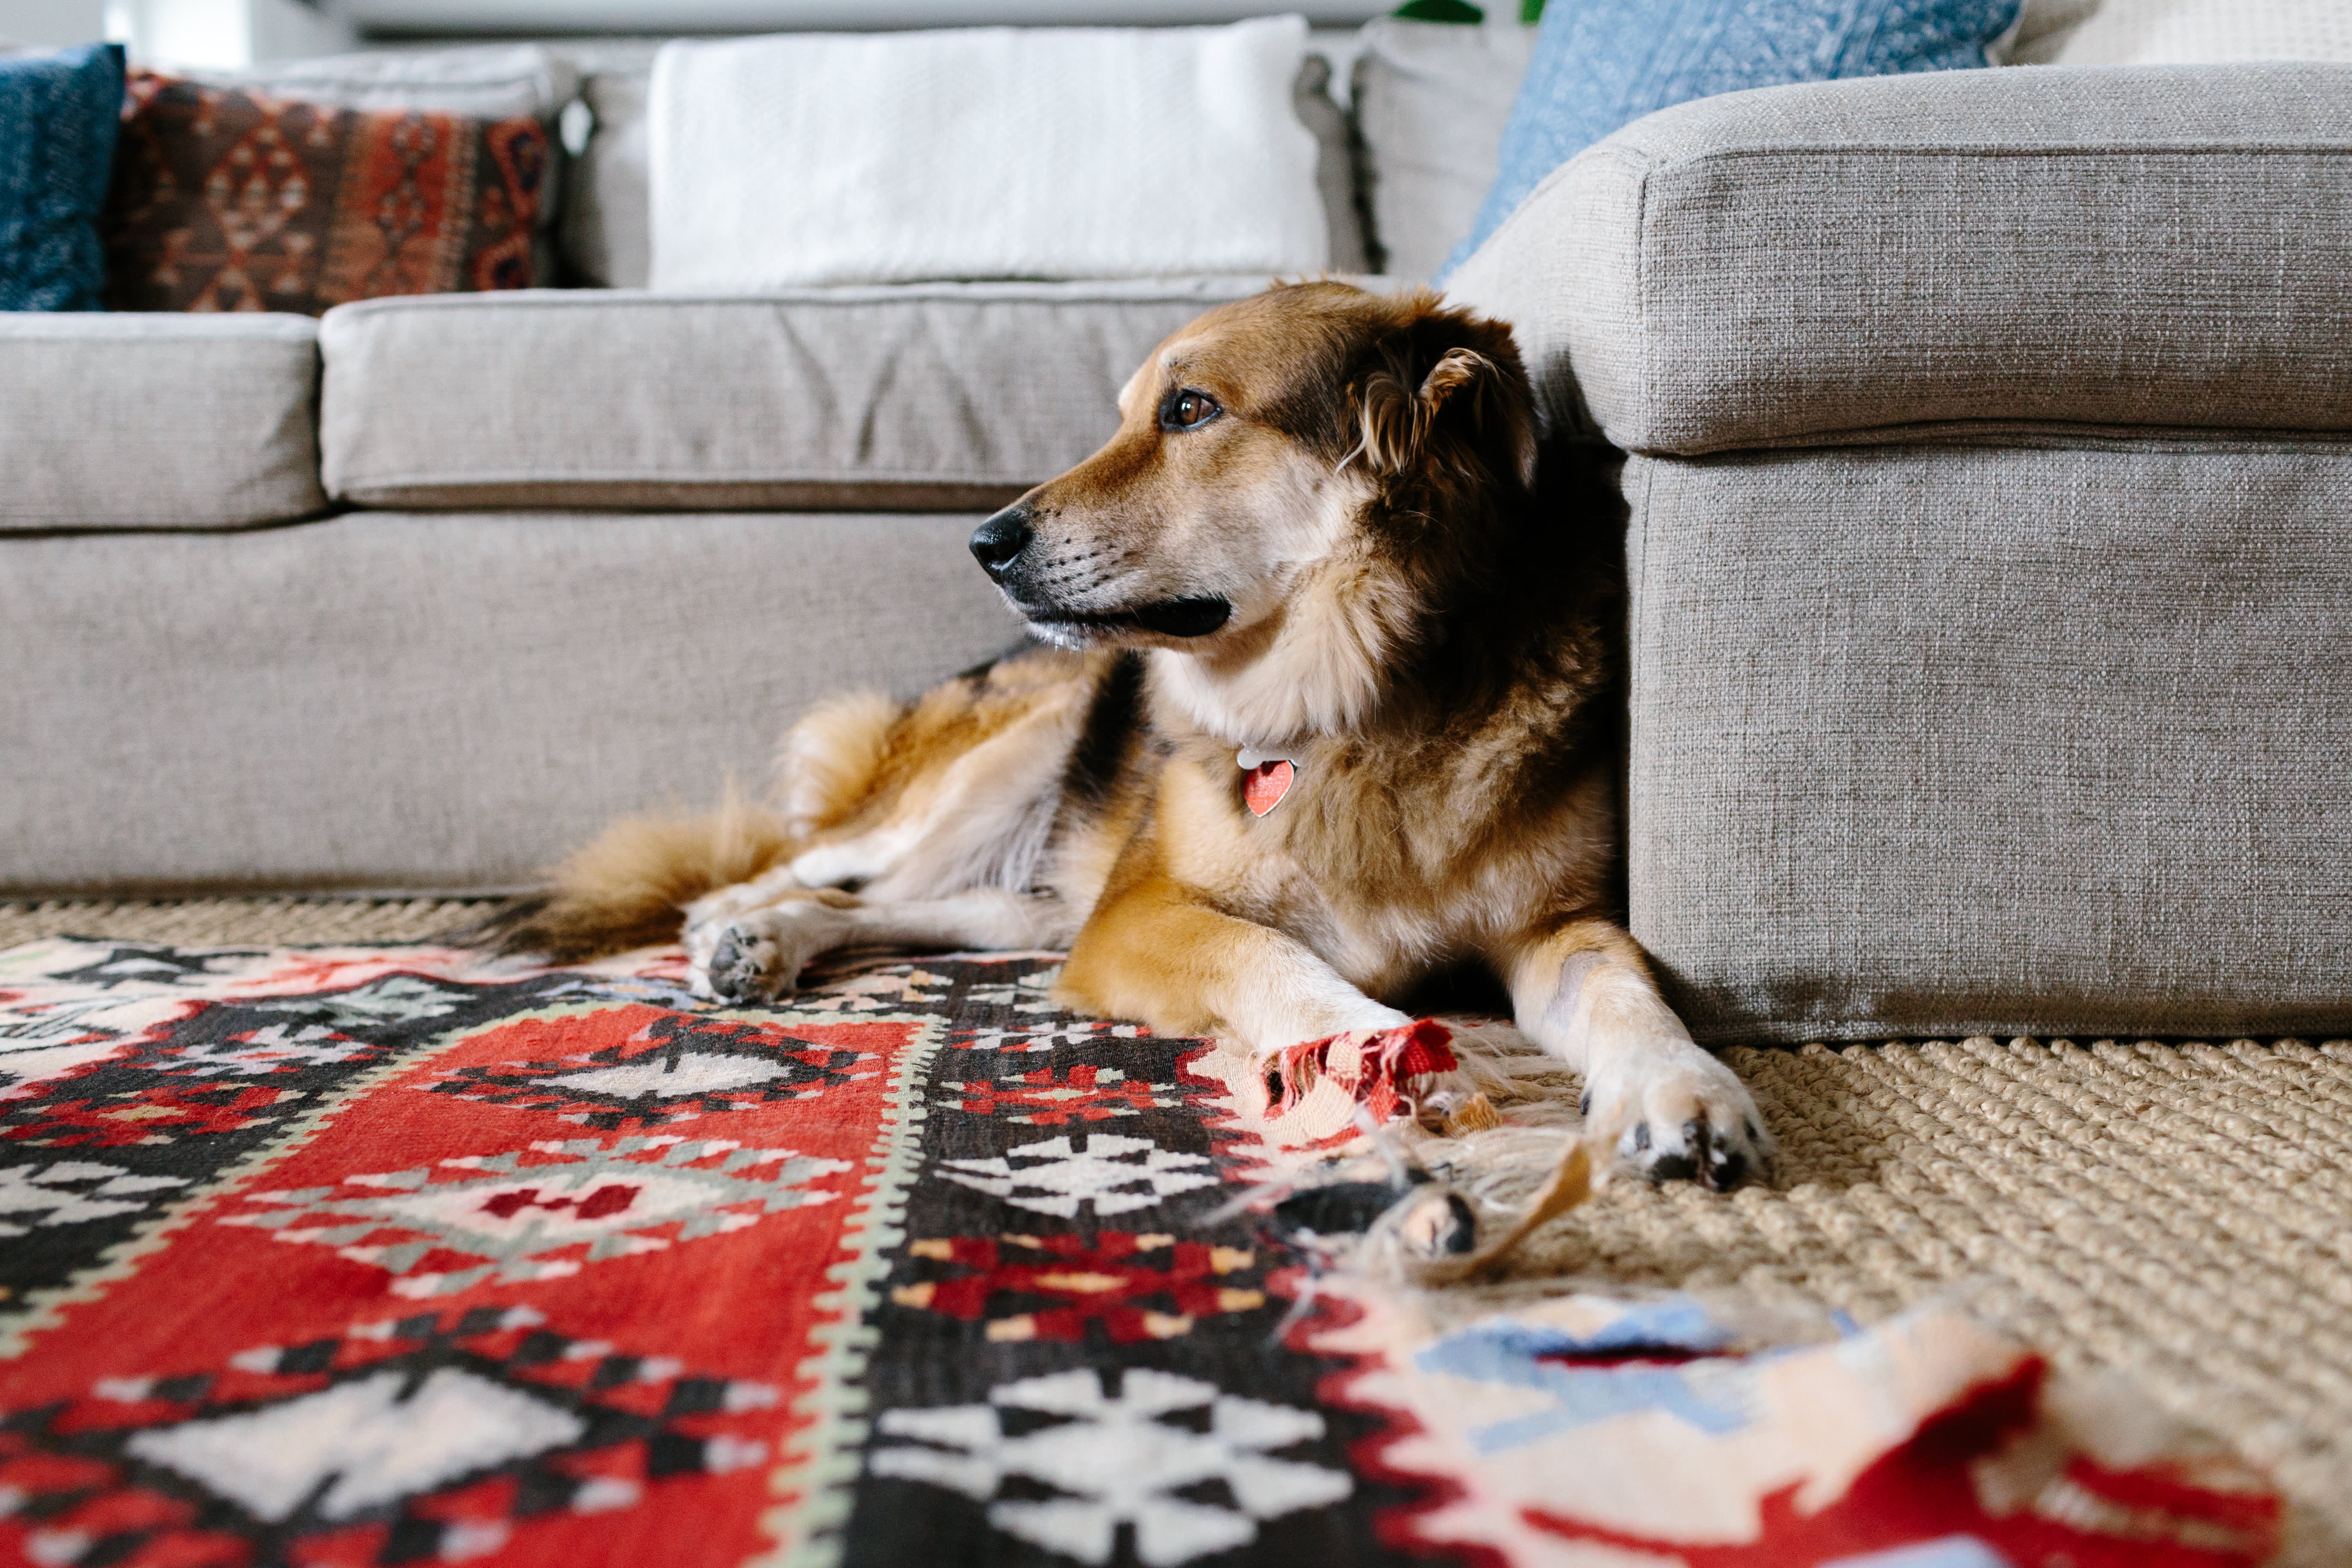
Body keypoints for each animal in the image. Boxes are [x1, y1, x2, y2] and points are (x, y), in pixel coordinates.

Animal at [510, 279, 1768, 1189]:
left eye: (1191, 409)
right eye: (1129, 412)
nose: (982, 543)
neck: (1361, 700)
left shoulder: (1554, 924)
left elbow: (1624, 988)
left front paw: (1683, 1091)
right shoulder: (1144, 912)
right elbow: (1273, 956)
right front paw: (1384, 1052)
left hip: (1033, 882)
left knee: (909, 910)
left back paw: (770, 939)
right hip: (1000, 771)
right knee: (813, 864)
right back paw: (736, 926)